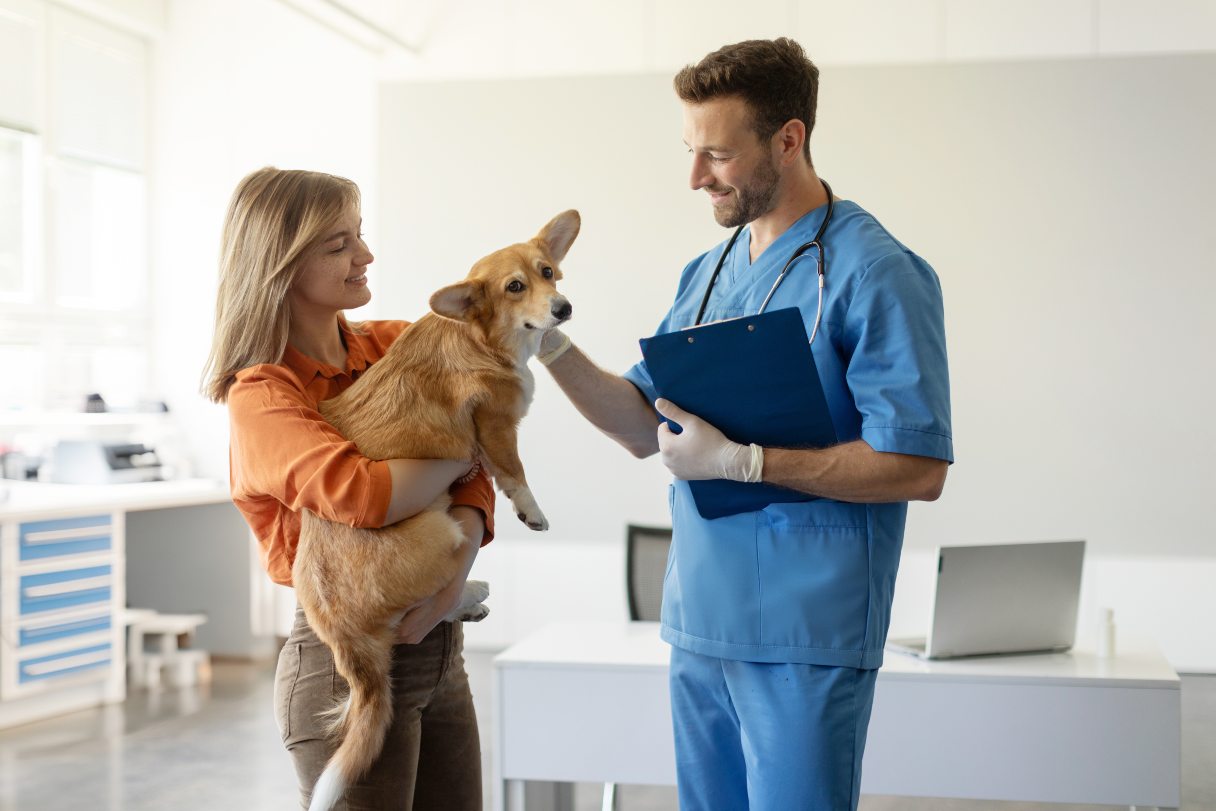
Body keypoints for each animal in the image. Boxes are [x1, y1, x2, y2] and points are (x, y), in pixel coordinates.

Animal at [294, 211, 578, 811]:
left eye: (547, 272)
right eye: (515, 287)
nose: (563, 309)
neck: (482, 337)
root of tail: (344, 641)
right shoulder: (495, 427)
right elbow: (514, 473)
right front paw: (531, 511)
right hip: (445, 532)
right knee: (423, 610)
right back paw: (471, 592)